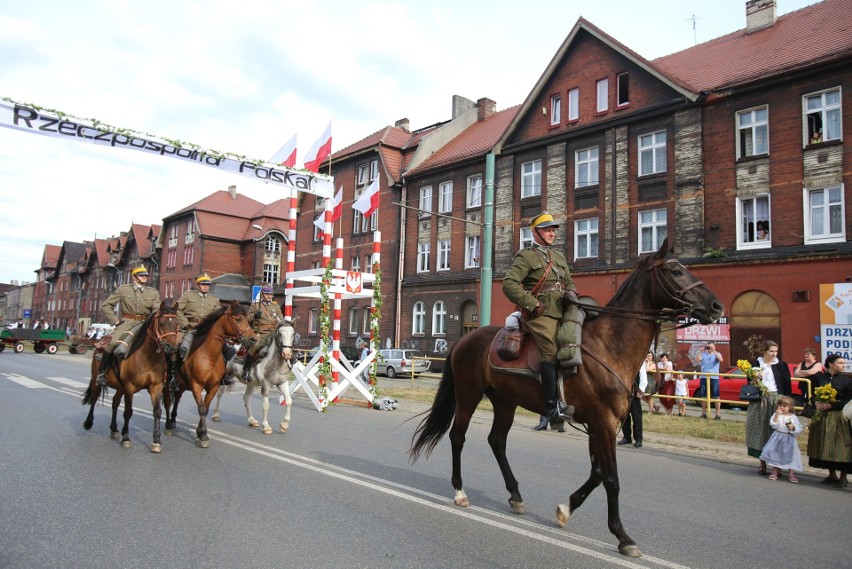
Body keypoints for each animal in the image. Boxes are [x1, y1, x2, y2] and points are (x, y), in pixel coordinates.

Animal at [82, 302, 180, 452]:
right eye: (162, 323)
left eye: (176, 324)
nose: (172, 347)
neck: (148, 357)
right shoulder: (129, 387)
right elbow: (128, 412)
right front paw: (126, 438)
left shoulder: (156, 387)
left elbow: (157, 411)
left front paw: (156, 440)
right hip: (97, 381)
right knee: (94, 398)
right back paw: (88, 422)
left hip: (120, 386)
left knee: (115, 402)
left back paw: (114, 429)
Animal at [163, 302, 256, 448]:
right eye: (238, 319)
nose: (253, 339)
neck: (208, 355)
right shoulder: (196, 385)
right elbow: (201, 409)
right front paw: (203, 436)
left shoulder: (213, 387)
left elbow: (205, 409)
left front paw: (200, 433)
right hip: (167, 385)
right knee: (168, 402)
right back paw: (168, 425)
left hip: (181, 385)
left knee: (177, 399)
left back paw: (172, 421)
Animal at [410, 239, 724, 556]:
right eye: (675, 271)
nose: (716, 306)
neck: (609, 345)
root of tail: (464, 338)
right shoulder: (603, 423)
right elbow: (611, 478)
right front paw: (623, 536)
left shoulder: (600, 425)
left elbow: (597, 473)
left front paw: (566, 509)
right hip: (468, 395)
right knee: (458, 437)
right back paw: (460, 491)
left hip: (505, 401)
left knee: (496, 441)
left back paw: (515, 495)